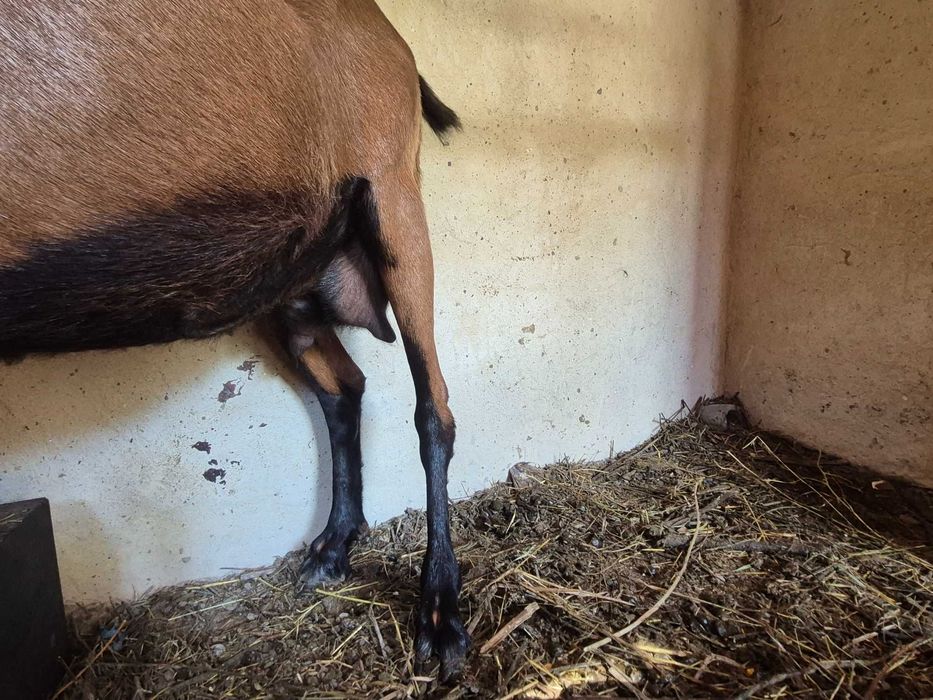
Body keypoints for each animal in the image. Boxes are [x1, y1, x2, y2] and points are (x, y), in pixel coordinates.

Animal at [0, 0, 469, 677]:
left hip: (393, 194)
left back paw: (439, 610)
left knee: (433, 410)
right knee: (344, 386)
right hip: (290, 276)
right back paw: (333, 546)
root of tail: (391, 36)